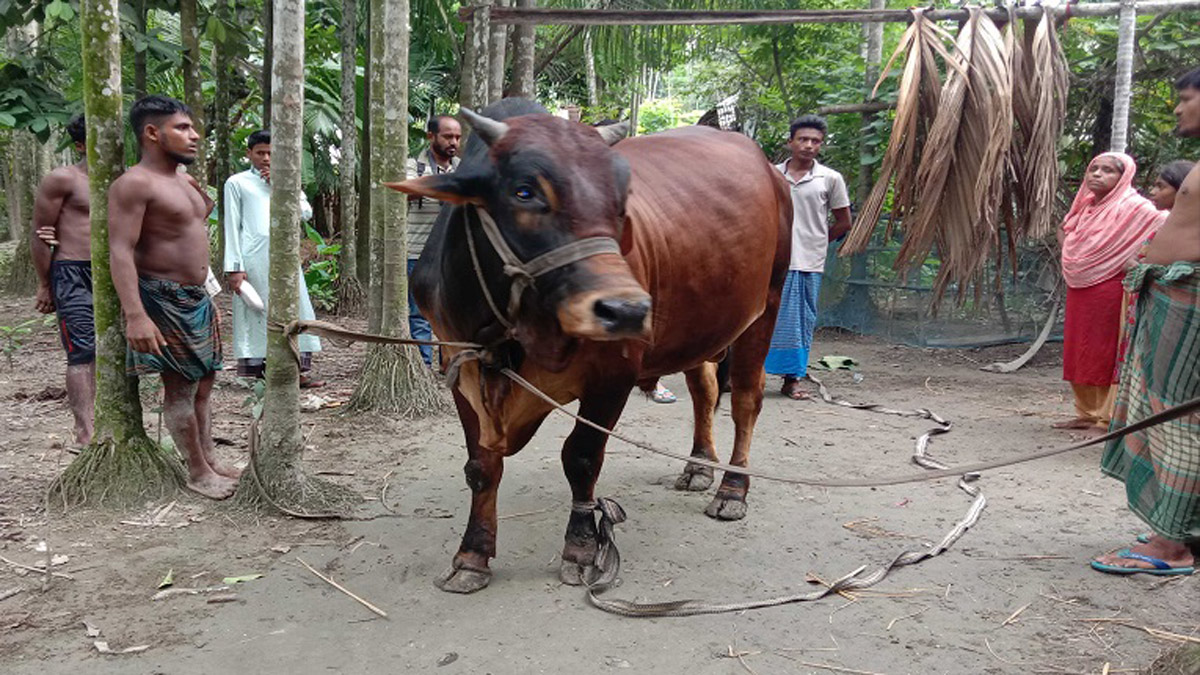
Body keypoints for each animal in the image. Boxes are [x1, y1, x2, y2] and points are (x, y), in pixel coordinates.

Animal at [388, 97, 792, 590]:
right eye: (525, 192)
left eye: (622, 201)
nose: (628, 311)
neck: (505, 331)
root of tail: (771, 170)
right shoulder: (459, 363)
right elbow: (481, 467)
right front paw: (472, 556)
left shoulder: (613, 374)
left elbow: (580, 457)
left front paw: (580, 547)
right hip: (701, 325)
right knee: (705, 390)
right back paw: (698, 464)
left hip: (767, 306)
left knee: (747, 400)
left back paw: (733, 489)